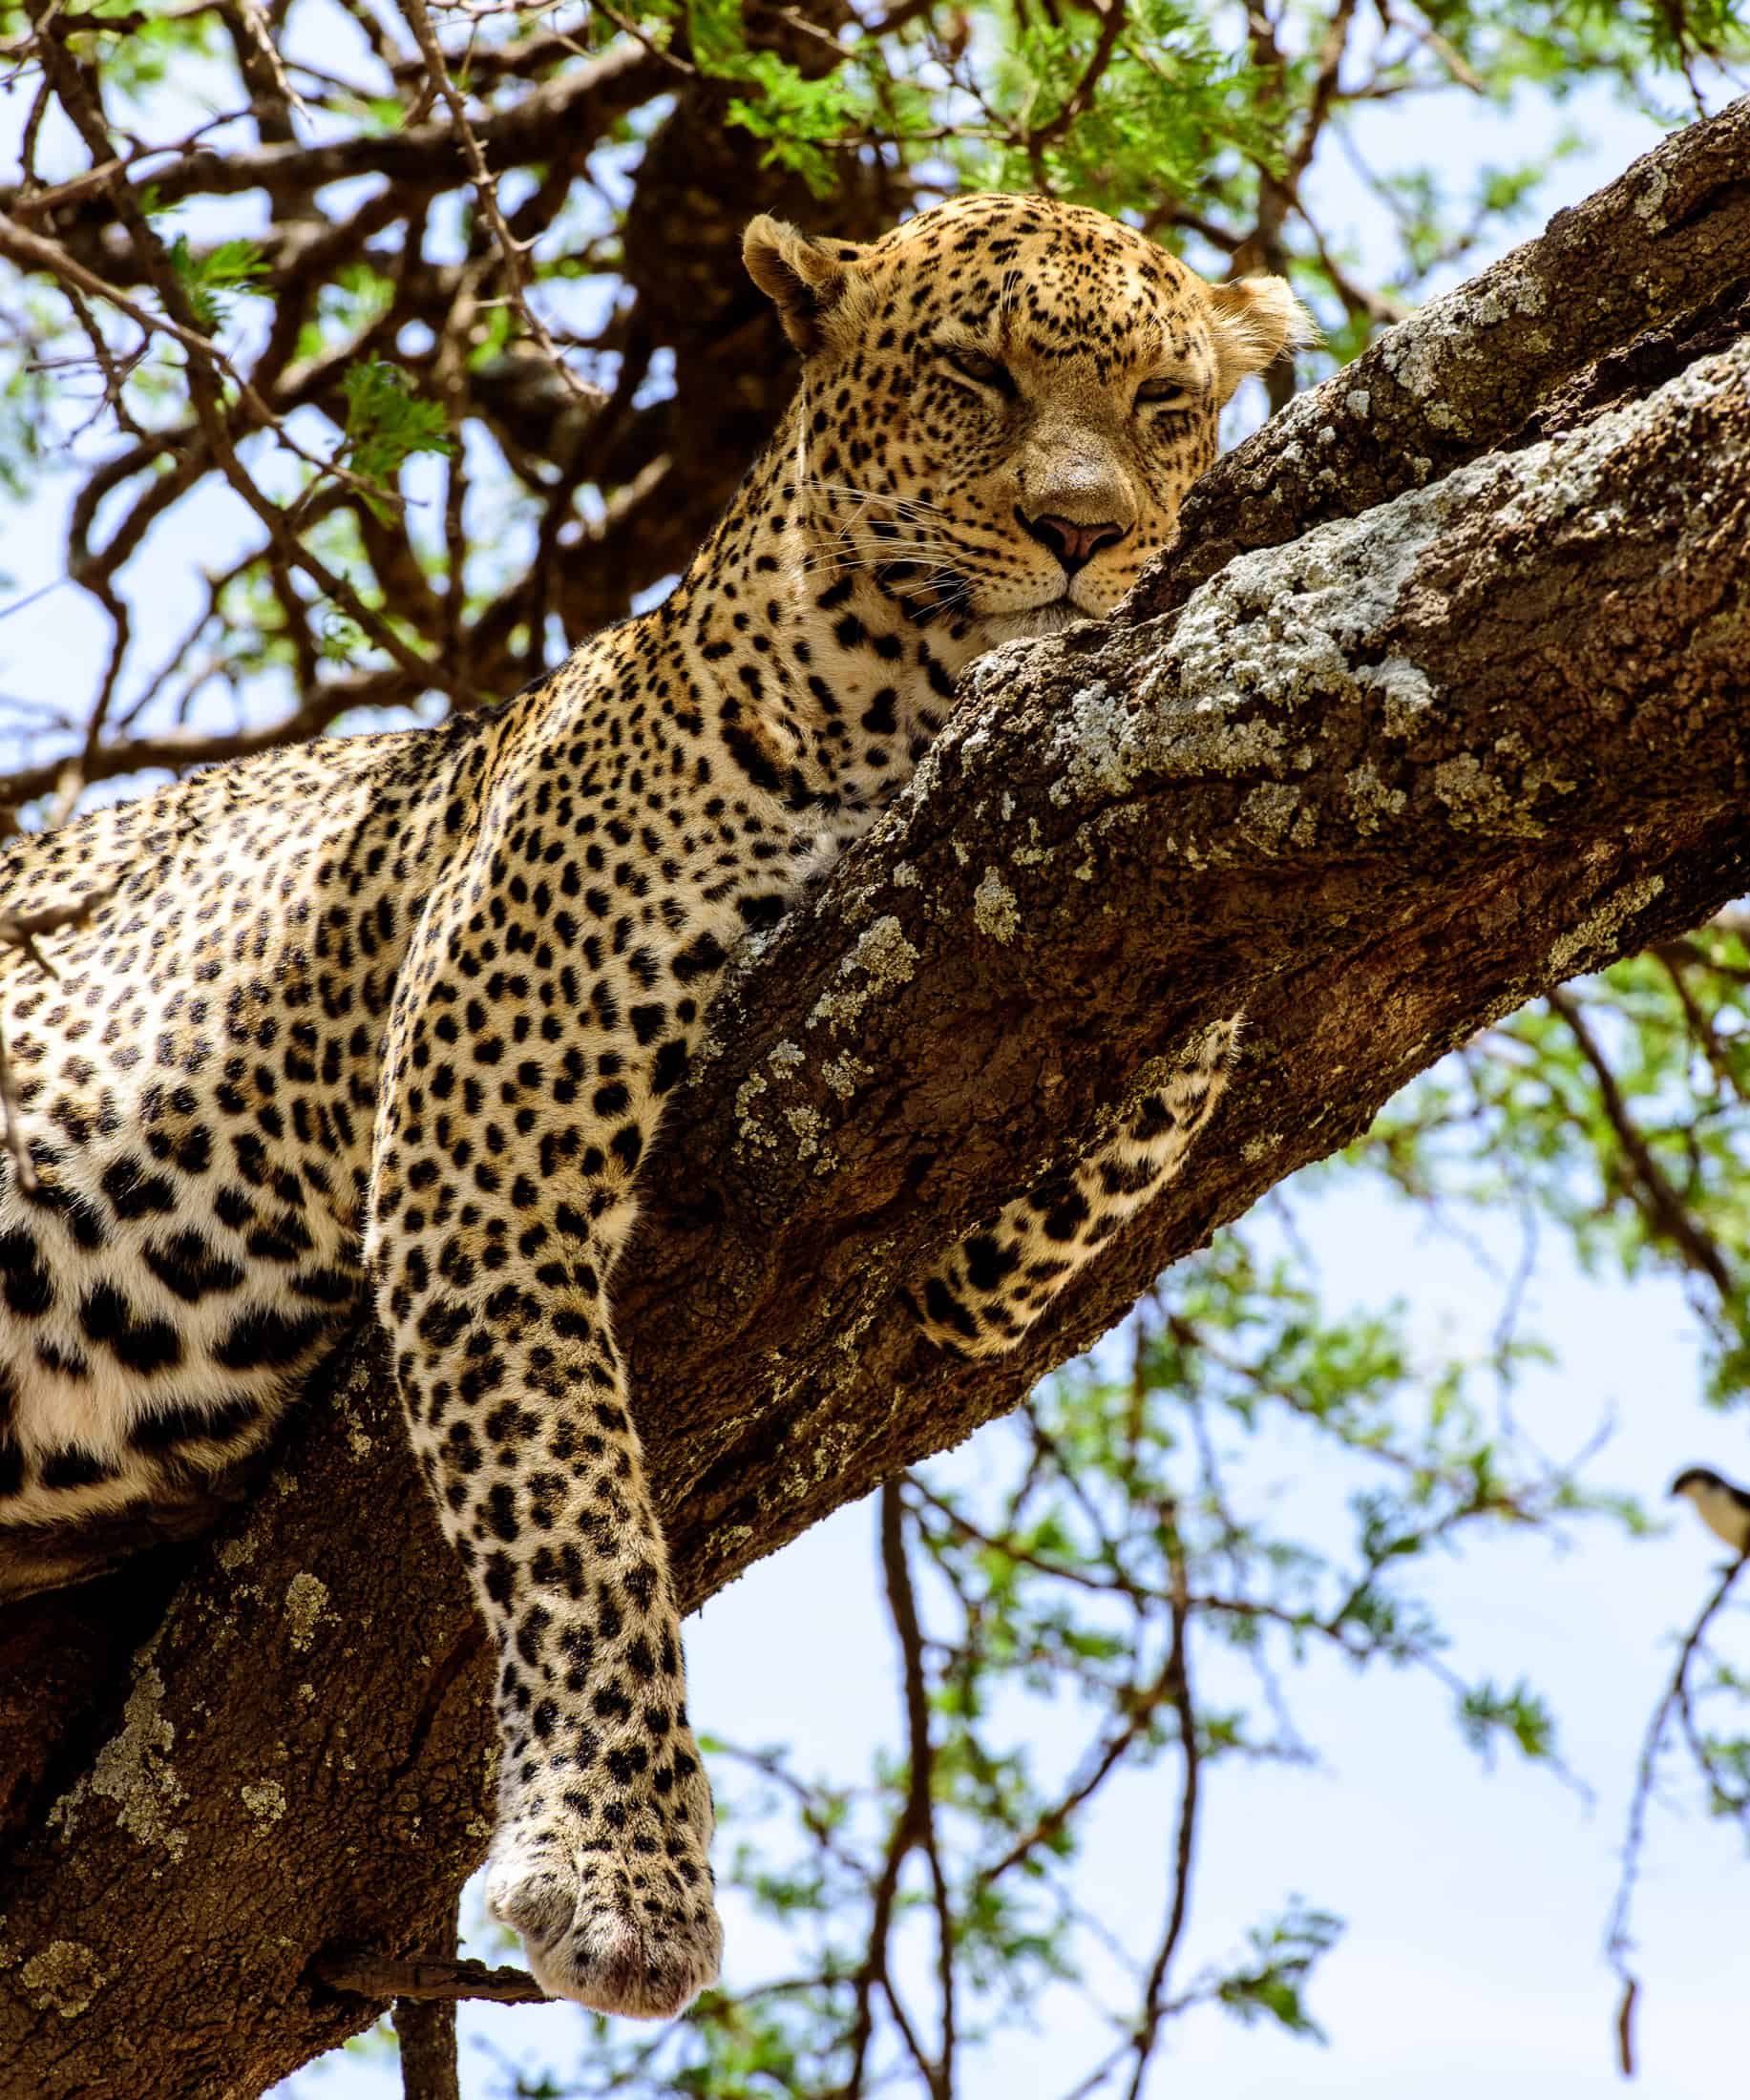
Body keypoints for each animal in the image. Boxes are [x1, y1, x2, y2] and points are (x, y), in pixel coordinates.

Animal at [0, 193, 1294, 2016]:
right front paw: (620, 1876)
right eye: (973, 374)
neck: (889, 701)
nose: (1078, 531)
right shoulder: (483, 1156)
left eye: (1166, 405)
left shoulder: (989, 1187)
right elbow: (580, 1521)